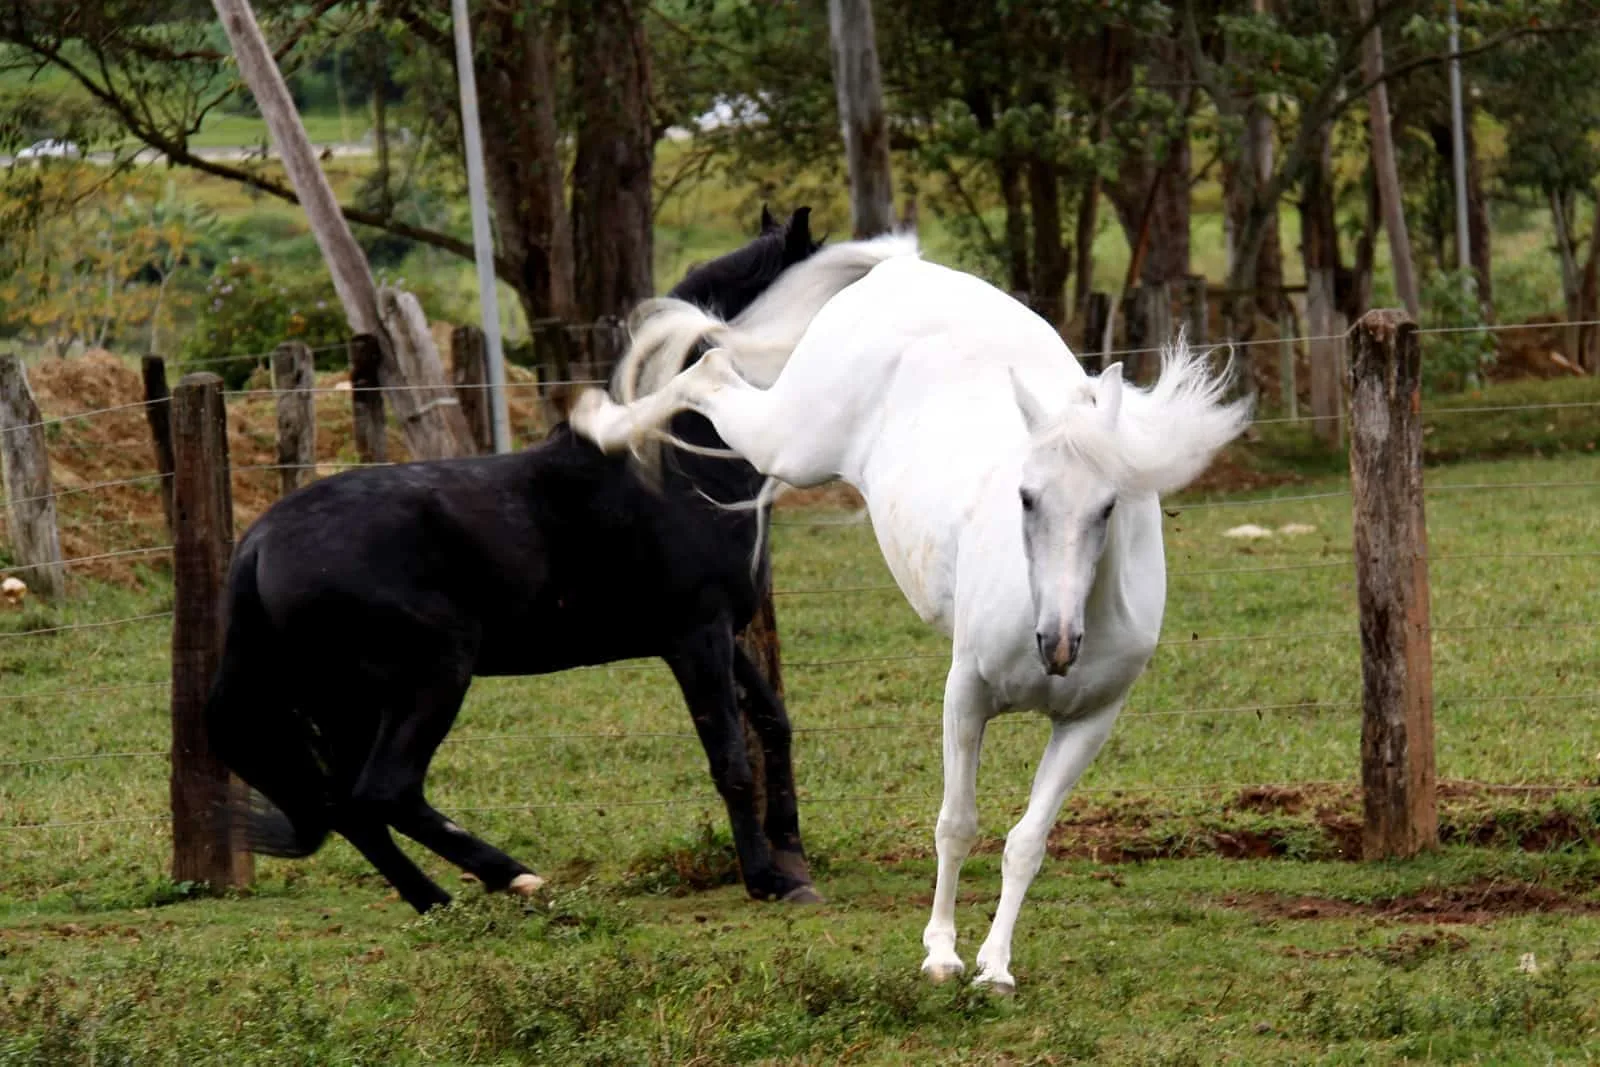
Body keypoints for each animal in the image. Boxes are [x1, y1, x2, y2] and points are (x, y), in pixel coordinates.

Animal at [204, 207, 826, 914]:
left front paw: (795, 864)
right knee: (385, 792)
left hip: (343, 706)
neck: (675, 461)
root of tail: (258, 546)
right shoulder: (695, 636)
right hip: (432, 674)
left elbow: (774, 726)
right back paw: (513, 877)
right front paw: (766, 879)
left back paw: (437, 903)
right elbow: (731, 760)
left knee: (353, 808)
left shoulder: (722, 633)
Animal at [568, 232, 1251, 993]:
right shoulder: (966, 694)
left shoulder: (1088, 723)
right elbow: (957, 823)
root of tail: (899, 270)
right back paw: (597, 421)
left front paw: (995, 966)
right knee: (710, 368)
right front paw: (942, 954)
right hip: (792, 441)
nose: (1057, 643)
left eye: (1108, 506)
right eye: (1025, 497)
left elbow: (1027, 841)